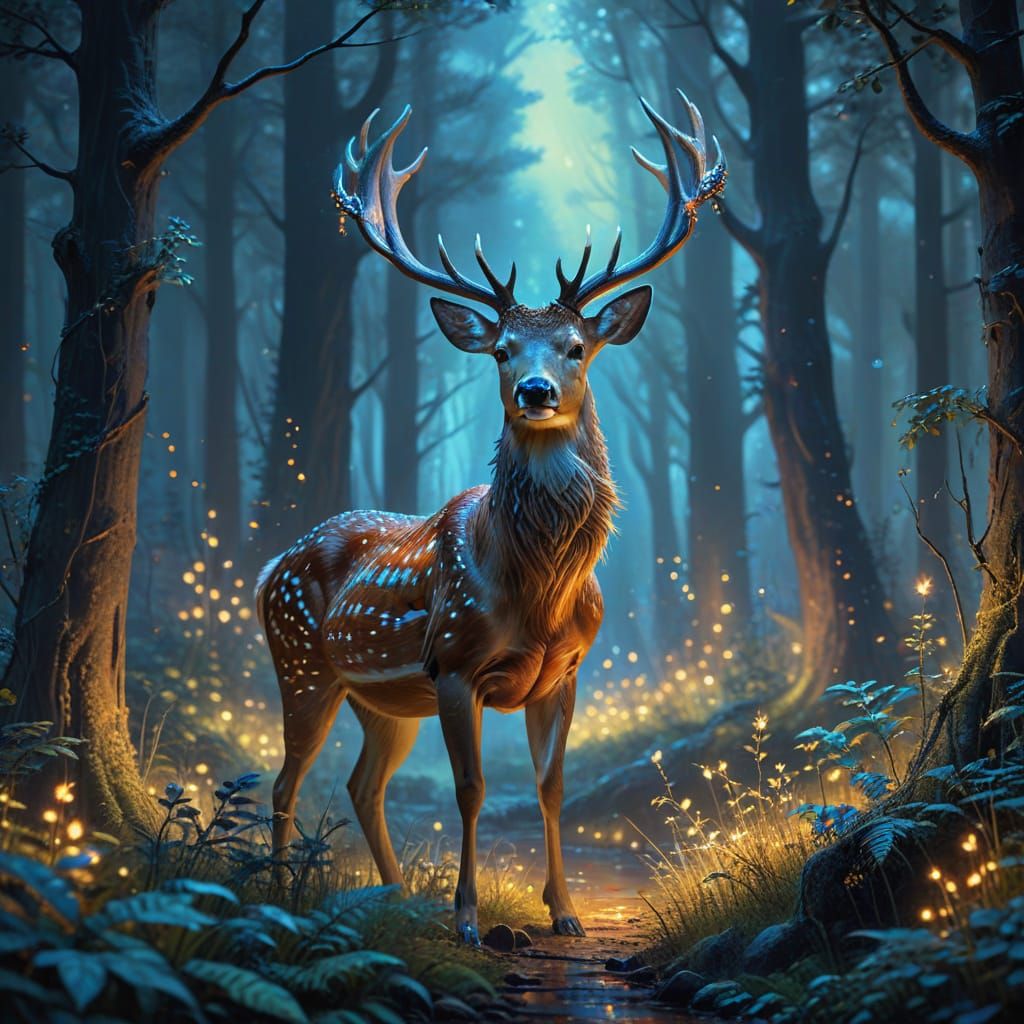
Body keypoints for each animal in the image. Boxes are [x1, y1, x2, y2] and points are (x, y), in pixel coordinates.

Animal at [257, 90, 725, 944]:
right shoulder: (452, 664)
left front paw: (565, 912)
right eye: (503, 350)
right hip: (303, 661)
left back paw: (396, 896)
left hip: (382, 700)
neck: (537, 593)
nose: (535, 391)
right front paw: (468, 919)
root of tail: (274, 564)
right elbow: (471, 789)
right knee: (285, 780)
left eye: (575, 346)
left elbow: (549, 786)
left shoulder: (566, 672)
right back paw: (281, 893)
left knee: (361, 783)